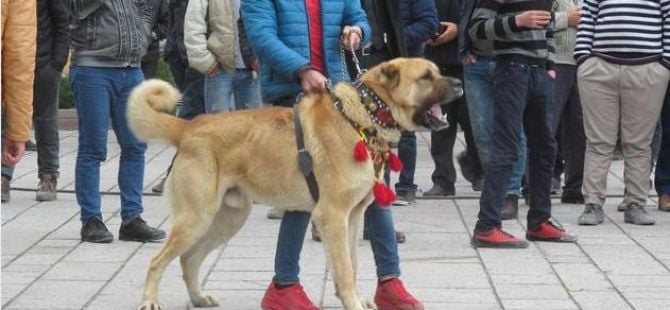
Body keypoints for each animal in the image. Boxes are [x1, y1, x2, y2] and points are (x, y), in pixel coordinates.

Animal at [127, 58, 462, 310]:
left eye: (436, 71)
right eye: (426, 77)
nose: (459, 82)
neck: (365, 115)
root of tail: (189, 126)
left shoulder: (353, 218)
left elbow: (352, 264)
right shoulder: (332, 217)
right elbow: (344, 269)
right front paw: (352, 302)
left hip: (227, 219)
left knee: (189, 258)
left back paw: (198, 298)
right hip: (196, 218)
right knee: (158, 261)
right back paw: (149, 300)